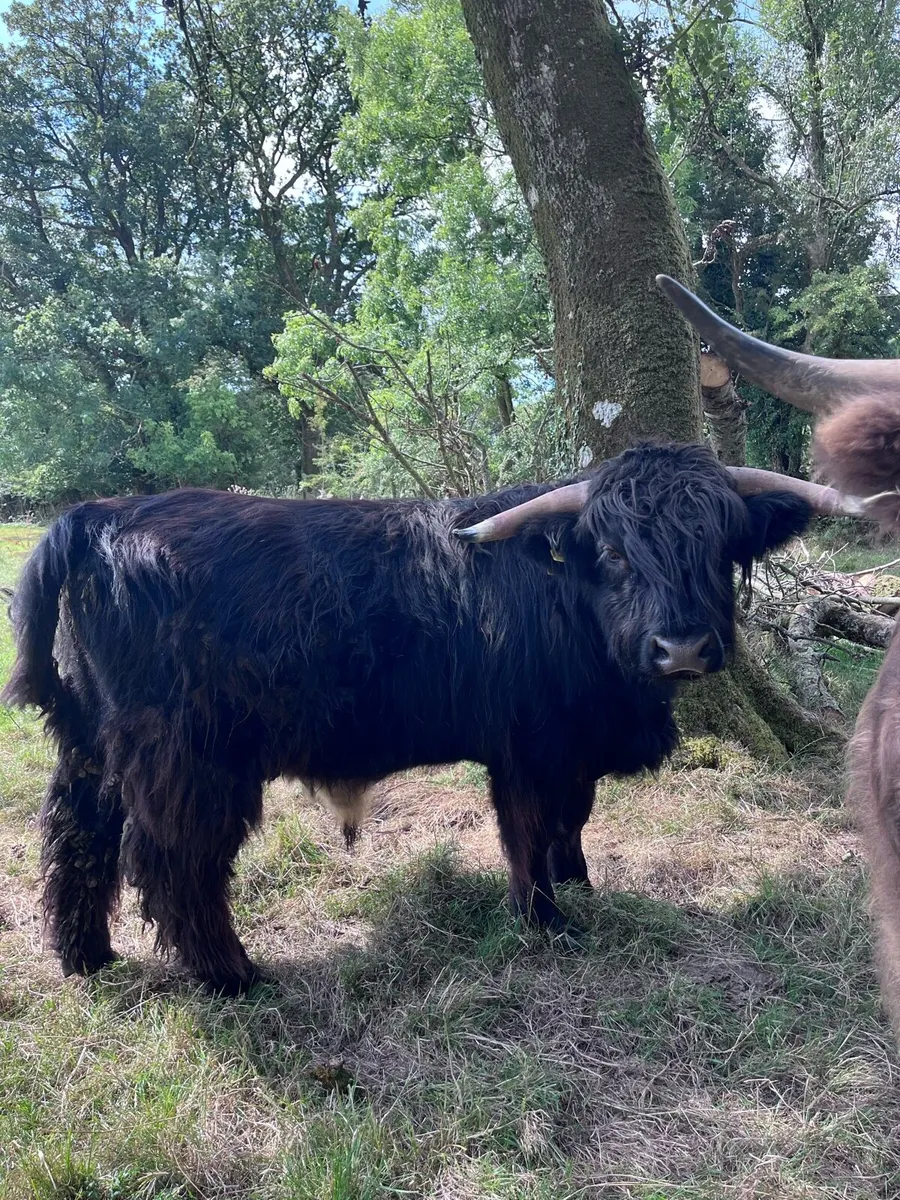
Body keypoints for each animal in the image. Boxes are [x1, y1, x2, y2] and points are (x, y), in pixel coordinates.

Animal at [2, 434, 816, 994]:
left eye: (719, 546)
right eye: (614, 552)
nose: (682, 648)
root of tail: (98, 515)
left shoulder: (571, 748)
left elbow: (573, 819)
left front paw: (579, 883)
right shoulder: (527, 746)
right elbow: (529, 830)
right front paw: (545, 921)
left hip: (90, 740)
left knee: (77, 834)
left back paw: (87, 958)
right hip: (188, 756)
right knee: (174, 860)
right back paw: (233, 976)